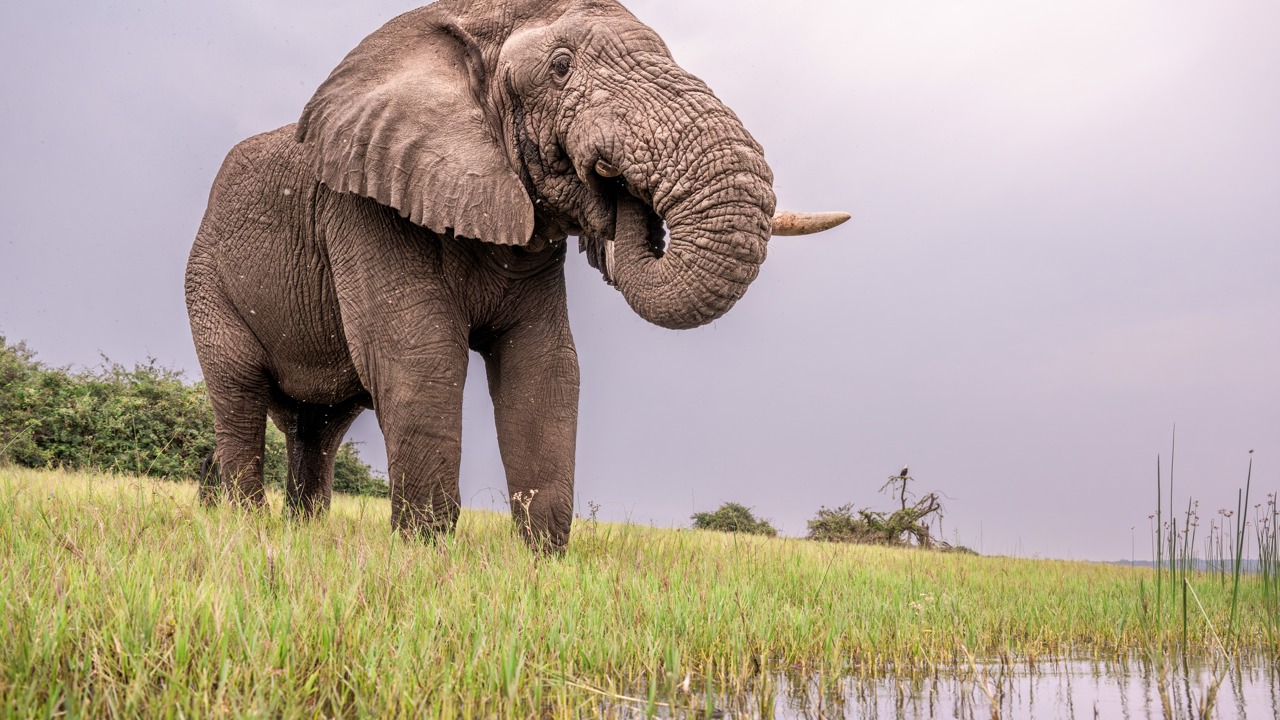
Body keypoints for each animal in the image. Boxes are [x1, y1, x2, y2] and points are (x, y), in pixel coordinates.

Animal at [185, 0, 847, 552]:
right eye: (560, 68)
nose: (621, 192)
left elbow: (545, 363)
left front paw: (541, 562)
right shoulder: (363, 201)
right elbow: (419, 354)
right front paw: (423, 555)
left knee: (319, 425)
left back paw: (304, 531)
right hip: (206, 284)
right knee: (241, 394)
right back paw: (245, 527)